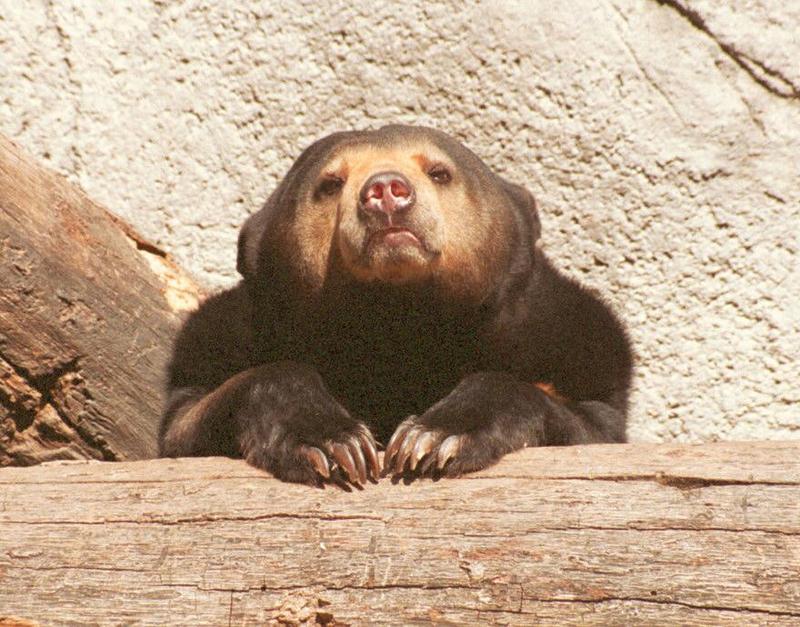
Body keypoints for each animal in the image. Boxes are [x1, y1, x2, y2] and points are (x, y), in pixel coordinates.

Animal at [159, 122, 636, 486]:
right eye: (330, 184)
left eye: (439, 172)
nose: (387, 190)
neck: (398, 320)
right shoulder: (230, 335)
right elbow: (189, 417)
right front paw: (334, 443)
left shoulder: (559, 332)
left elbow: (591, 419)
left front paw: (433, 438)